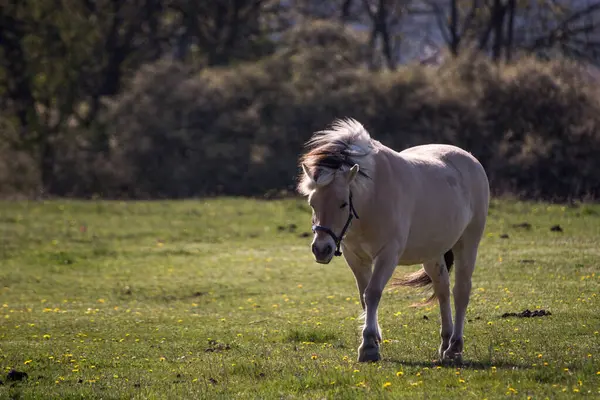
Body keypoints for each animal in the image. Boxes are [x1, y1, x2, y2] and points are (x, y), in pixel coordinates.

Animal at [298, 118, 490, 362]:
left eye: (343, 203)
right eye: (312, 203)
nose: (321, 249)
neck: (371, 199)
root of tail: (471, 160)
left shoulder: (388, 255)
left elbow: (372, 293)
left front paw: (368, 346)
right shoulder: (355, 258)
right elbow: (363, 295)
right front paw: (373, 341)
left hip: (468, 244)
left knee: (461, 291)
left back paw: (455, 347)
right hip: (432, 254)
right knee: (443, 289)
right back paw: (445, 344)